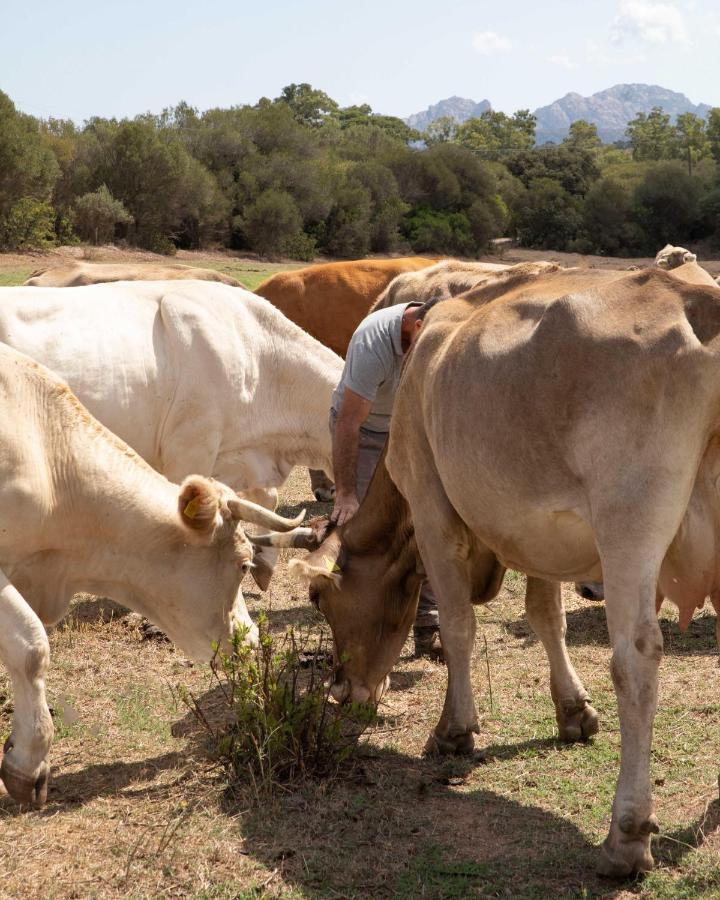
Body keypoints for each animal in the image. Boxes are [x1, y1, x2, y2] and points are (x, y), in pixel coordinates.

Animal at [258, 264, 720, 876]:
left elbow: (459, 628)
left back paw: (626, 836)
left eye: (319, 600)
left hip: (629, 525)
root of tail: (697, 301)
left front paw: (454, 730)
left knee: (636, 660)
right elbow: (546, 616)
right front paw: (573, 711)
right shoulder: (540, 529)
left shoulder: (432, 509)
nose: (340, 690)